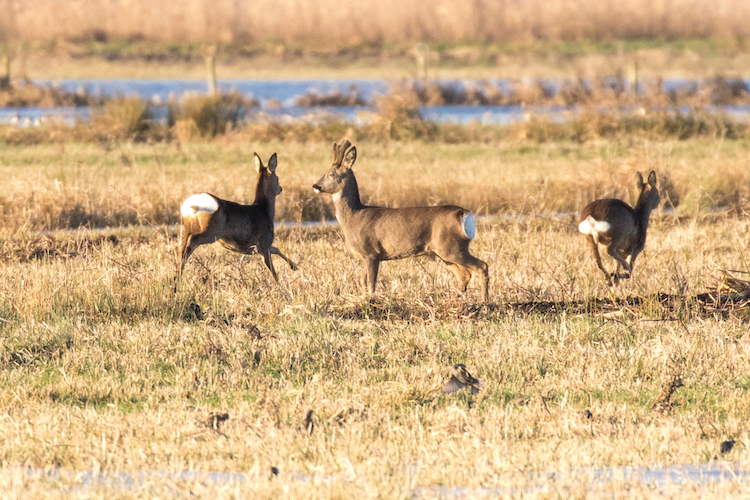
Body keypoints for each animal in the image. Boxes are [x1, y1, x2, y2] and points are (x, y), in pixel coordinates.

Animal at [175, 152, 296, 289]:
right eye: (277, 178)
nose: (280, 188)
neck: (264, 210)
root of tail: (192, 204)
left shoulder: (259, 247)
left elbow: (276, 249)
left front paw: (294, 266)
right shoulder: (264, 242)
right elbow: (271, 267)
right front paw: (281, 286)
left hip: (188, 227)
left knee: (182, 246)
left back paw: (176, 279)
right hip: (212, 231)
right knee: (191, 242)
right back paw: (177, 281)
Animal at [312, 140, 489, 301]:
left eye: (331, 174)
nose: (315, 185)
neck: (354, 216)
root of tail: (463, 213)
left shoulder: (371, 252)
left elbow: (371, 283)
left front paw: (372, 300)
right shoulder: (367, 256)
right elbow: (362, 280)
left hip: (452, 247)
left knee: (482, 266)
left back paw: (484, 301)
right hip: (444, 252)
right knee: (464, 275)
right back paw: (453, 300)